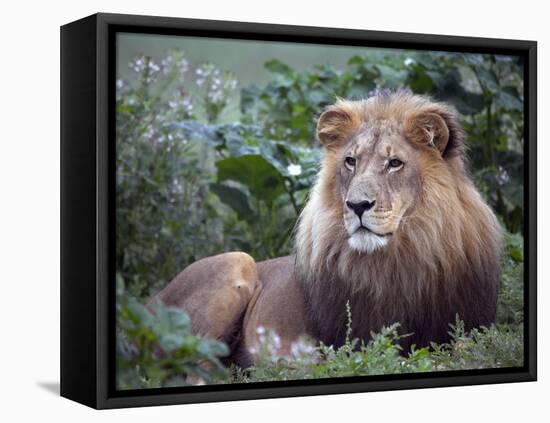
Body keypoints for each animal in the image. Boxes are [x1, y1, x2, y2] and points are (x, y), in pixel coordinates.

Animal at [149, 90, 502, 368]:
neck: (400, 260)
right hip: (237, 261)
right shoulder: (346, 343)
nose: (357, 205)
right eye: (351, 161)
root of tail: (151, 299)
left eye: (394, 164)